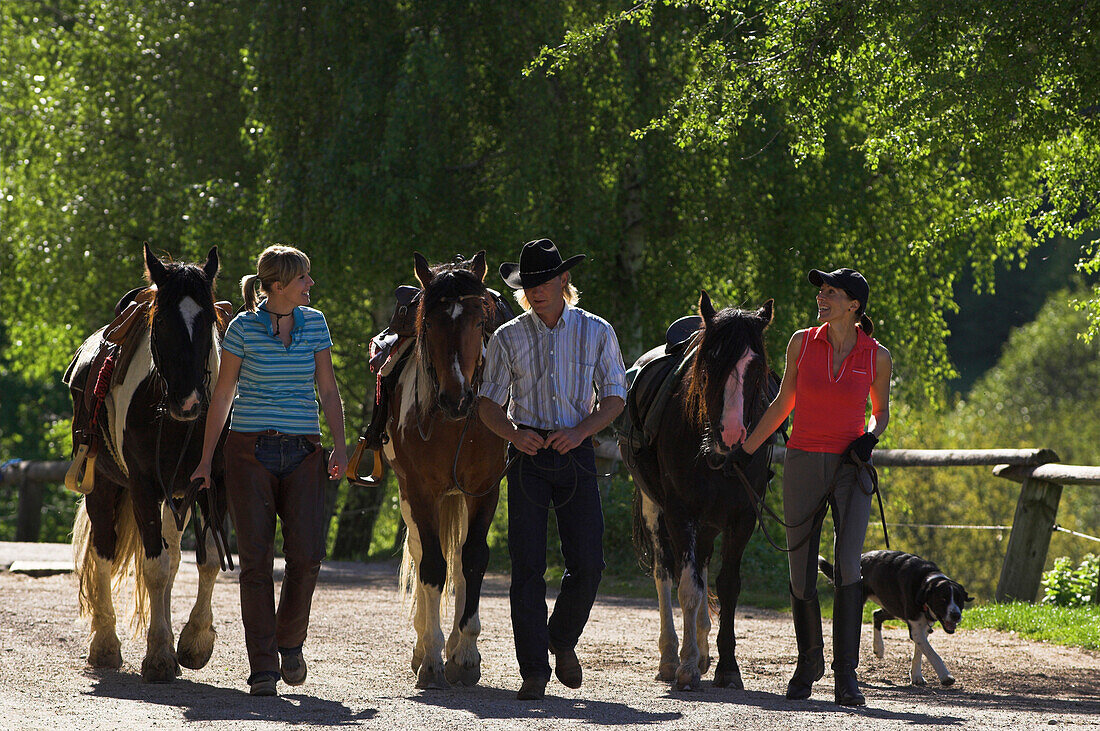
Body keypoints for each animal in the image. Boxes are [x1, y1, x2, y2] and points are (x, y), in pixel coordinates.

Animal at [67, 246, 229, 685]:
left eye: (208, 320)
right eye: (163, 322)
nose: (188, 402)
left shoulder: (211, 484)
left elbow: (207, 559)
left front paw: (193, 642)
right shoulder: (142, 487)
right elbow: (153, 567)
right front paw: (158, 655)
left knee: (172, 557)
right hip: (103, 486)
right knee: (104, 554)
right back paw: (105, 644)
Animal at [382, 249, 506, 685]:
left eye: (479, 321)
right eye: (431, 322)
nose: (457, 397)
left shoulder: (485, 490)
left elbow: (473, 559)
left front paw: (465, 653)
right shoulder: (420, 492)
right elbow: (432, 565)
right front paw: (433, 657)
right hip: (411, 495)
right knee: (423, 554)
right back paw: (424, 645)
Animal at [629, 292, 774, 690]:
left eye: (757, 367)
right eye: (709, 361)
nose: (731, 434)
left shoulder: (742, 517)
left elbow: (727, 586)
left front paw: (727, 666)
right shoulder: (681, 515)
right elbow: (687, 589)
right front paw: (686, 666)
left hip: (709, 523)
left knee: (703, 566)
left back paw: (704, 647)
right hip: (655, 511)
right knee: (665, 573)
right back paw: (670, 655)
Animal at [822, 554, 976, 685]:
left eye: (959, 599)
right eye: (943, 599)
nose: (956, 615)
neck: (925, 581)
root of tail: (863, 556)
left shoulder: (921, 628)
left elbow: (920, 652)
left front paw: (916, 676)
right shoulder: (916, 627)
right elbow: (932, 654)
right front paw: (945, 676)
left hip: (892, 607)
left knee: (876, 615)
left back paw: (878, 648)